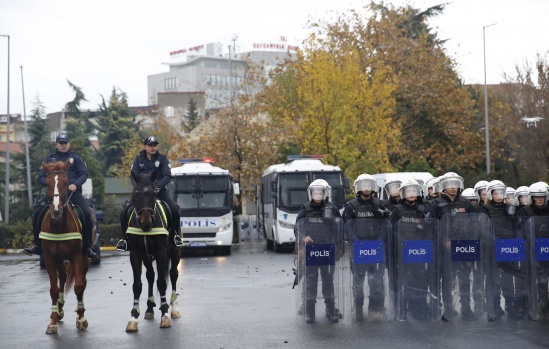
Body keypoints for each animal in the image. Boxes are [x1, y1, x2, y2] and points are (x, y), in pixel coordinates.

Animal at [40, 160, 90, 334]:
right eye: (47, 183)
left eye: (66, 182)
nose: (56, 209)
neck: (58, 226)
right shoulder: (49, 259)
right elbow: (54, 289)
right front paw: (53, 321)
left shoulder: (77, 256)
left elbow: (79, 286)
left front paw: (81, 318)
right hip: (59, 259)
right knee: (62, 277)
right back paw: (59, 309)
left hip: (84, 258)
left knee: (82, 281)